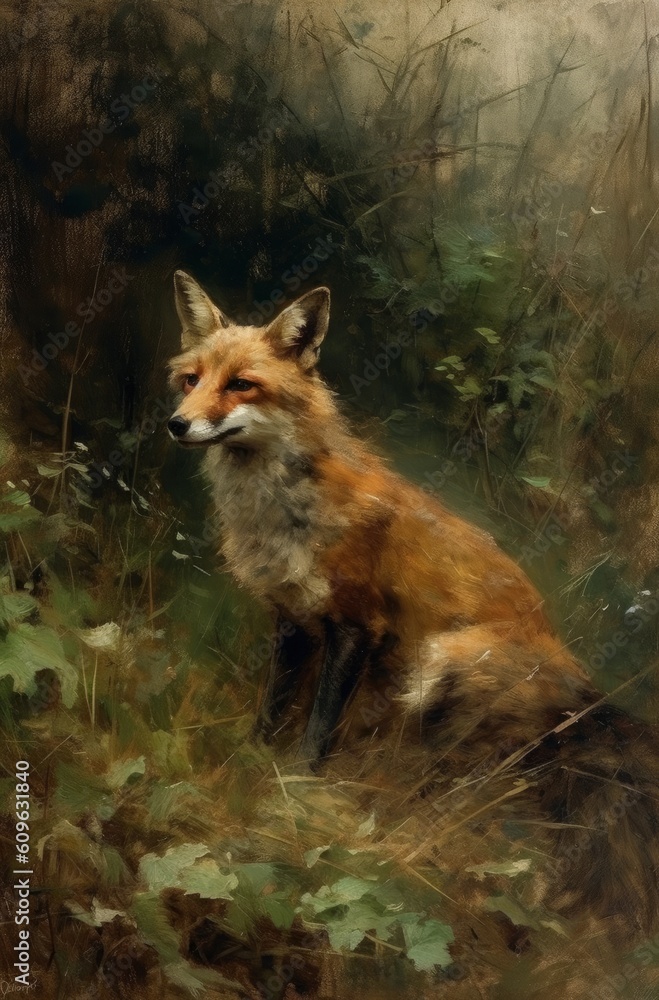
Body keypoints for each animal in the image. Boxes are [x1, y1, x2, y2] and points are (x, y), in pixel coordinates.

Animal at [167, 269, 659, 936]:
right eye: (191, 380)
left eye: (242, 384)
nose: (176, 423)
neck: (282, 511)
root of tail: (587, 704)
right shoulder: (292, 620)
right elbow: (272, 711)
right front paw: (248, 764)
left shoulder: (356, 626)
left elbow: (317, 731)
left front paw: (294, 794)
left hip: (445, 660)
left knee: (462, 781)